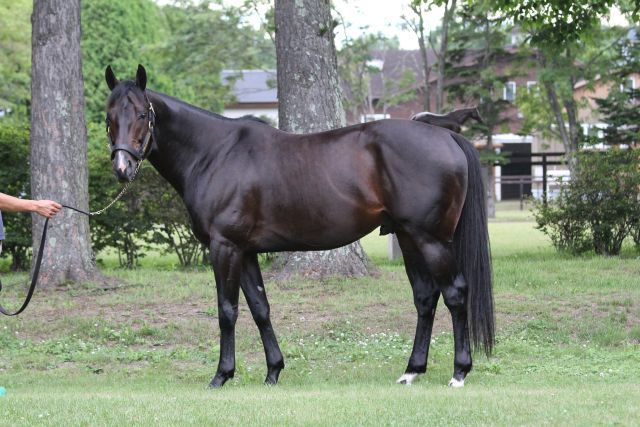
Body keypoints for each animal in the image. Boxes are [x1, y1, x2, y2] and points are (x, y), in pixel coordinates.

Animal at [105, 65, 496, 390]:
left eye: (142, 114)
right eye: (108, 117)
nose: (123, 168)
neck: (215, 153)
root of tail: (445, 136)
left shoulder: (225, 247)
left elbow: (227, 311)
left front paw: (221, 375)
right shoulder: (245, 251)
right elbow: (260, 308)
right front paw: (273, 371)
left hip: (431, 240)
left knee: (455, 294)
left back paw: (459, 372)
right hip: (408, 238)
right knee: (426, 297)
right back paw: (412, 371)